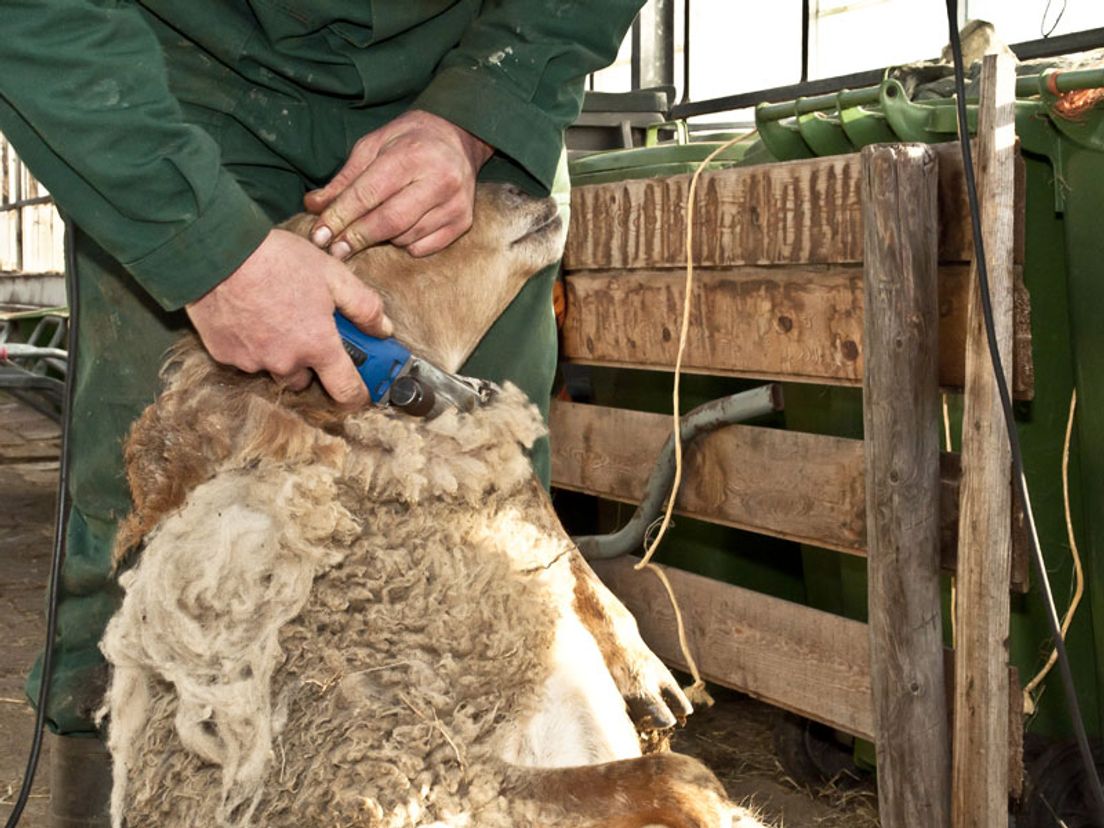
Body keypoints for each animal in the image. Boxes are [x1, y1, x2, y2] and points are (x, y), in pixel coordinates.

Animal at [101, 186, 768, 828]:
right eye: (351, 244)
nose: (519, 186)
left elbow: (572, 557)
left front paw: (644, 673)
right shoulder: (442, 779)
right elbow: (683, 781)